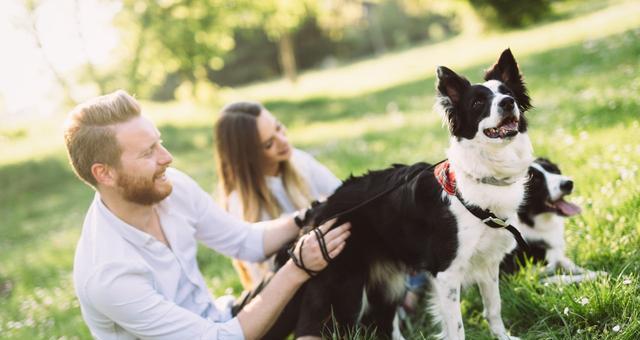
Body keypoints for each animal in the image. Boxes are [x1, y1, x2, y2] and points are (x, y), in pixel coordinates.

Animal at [288, 48, 532, 340]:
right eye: (477, 103)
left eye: (508, 93)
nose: (508, 103)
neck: (483, 175)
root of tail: (318, 210)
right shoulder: (446, 273)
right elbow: (457, 328)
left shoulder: (488, 261)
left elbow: (494, 308)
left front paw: (503, 337)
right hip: (345, 290)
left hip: (388, 283)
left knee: (385, 323)